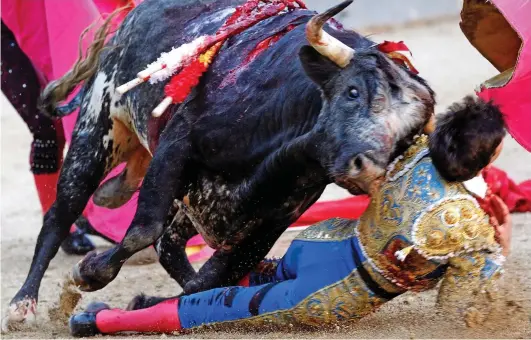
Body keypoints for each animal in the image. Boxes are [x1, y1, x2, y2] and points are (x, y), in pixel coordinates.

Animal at [3, 0, 436, 330]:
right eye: (353, 91)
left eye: (407, 136)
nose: (367, 169)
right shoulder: (177, 145)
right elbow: (142, 230)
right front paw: (87, 273)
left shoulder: (274, 218)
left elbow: (209, 277)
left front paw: (146, 302)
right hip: (96, 131)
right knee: (61, 215)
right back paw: (23, 305)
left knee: (169, 246)